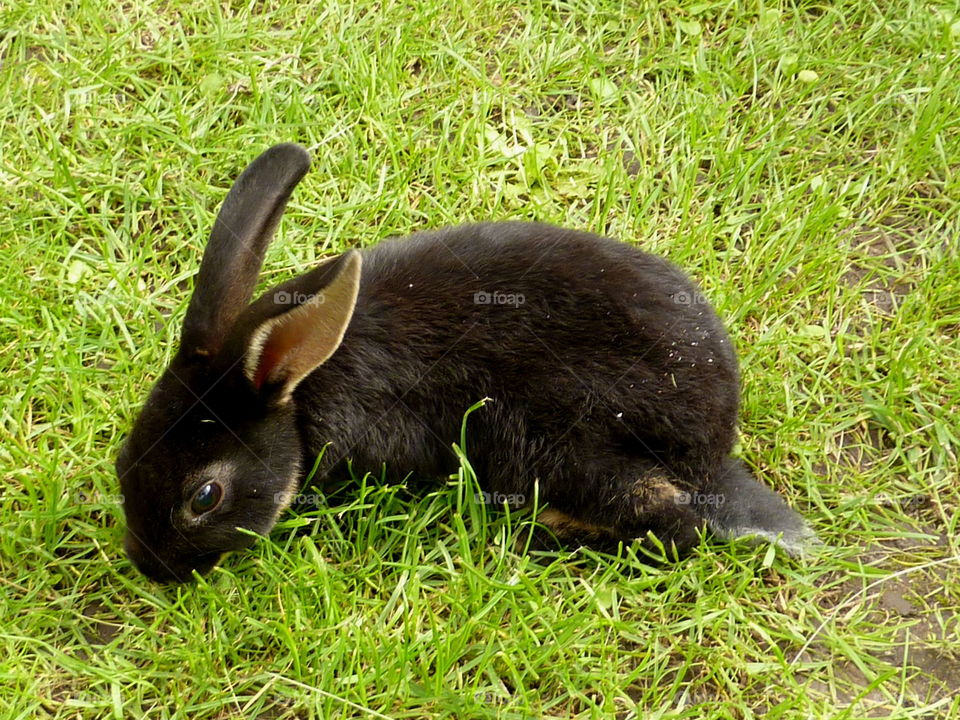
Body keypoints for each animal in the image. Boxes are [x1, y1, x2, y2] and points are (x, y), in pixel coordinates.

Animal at [114, 143, 816, 584]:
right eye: (123, 461)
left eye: (205, 496)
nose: (154, 570)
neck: (303, 387)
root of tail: (710, 456)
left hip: (555, 442)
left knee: (674, 525)